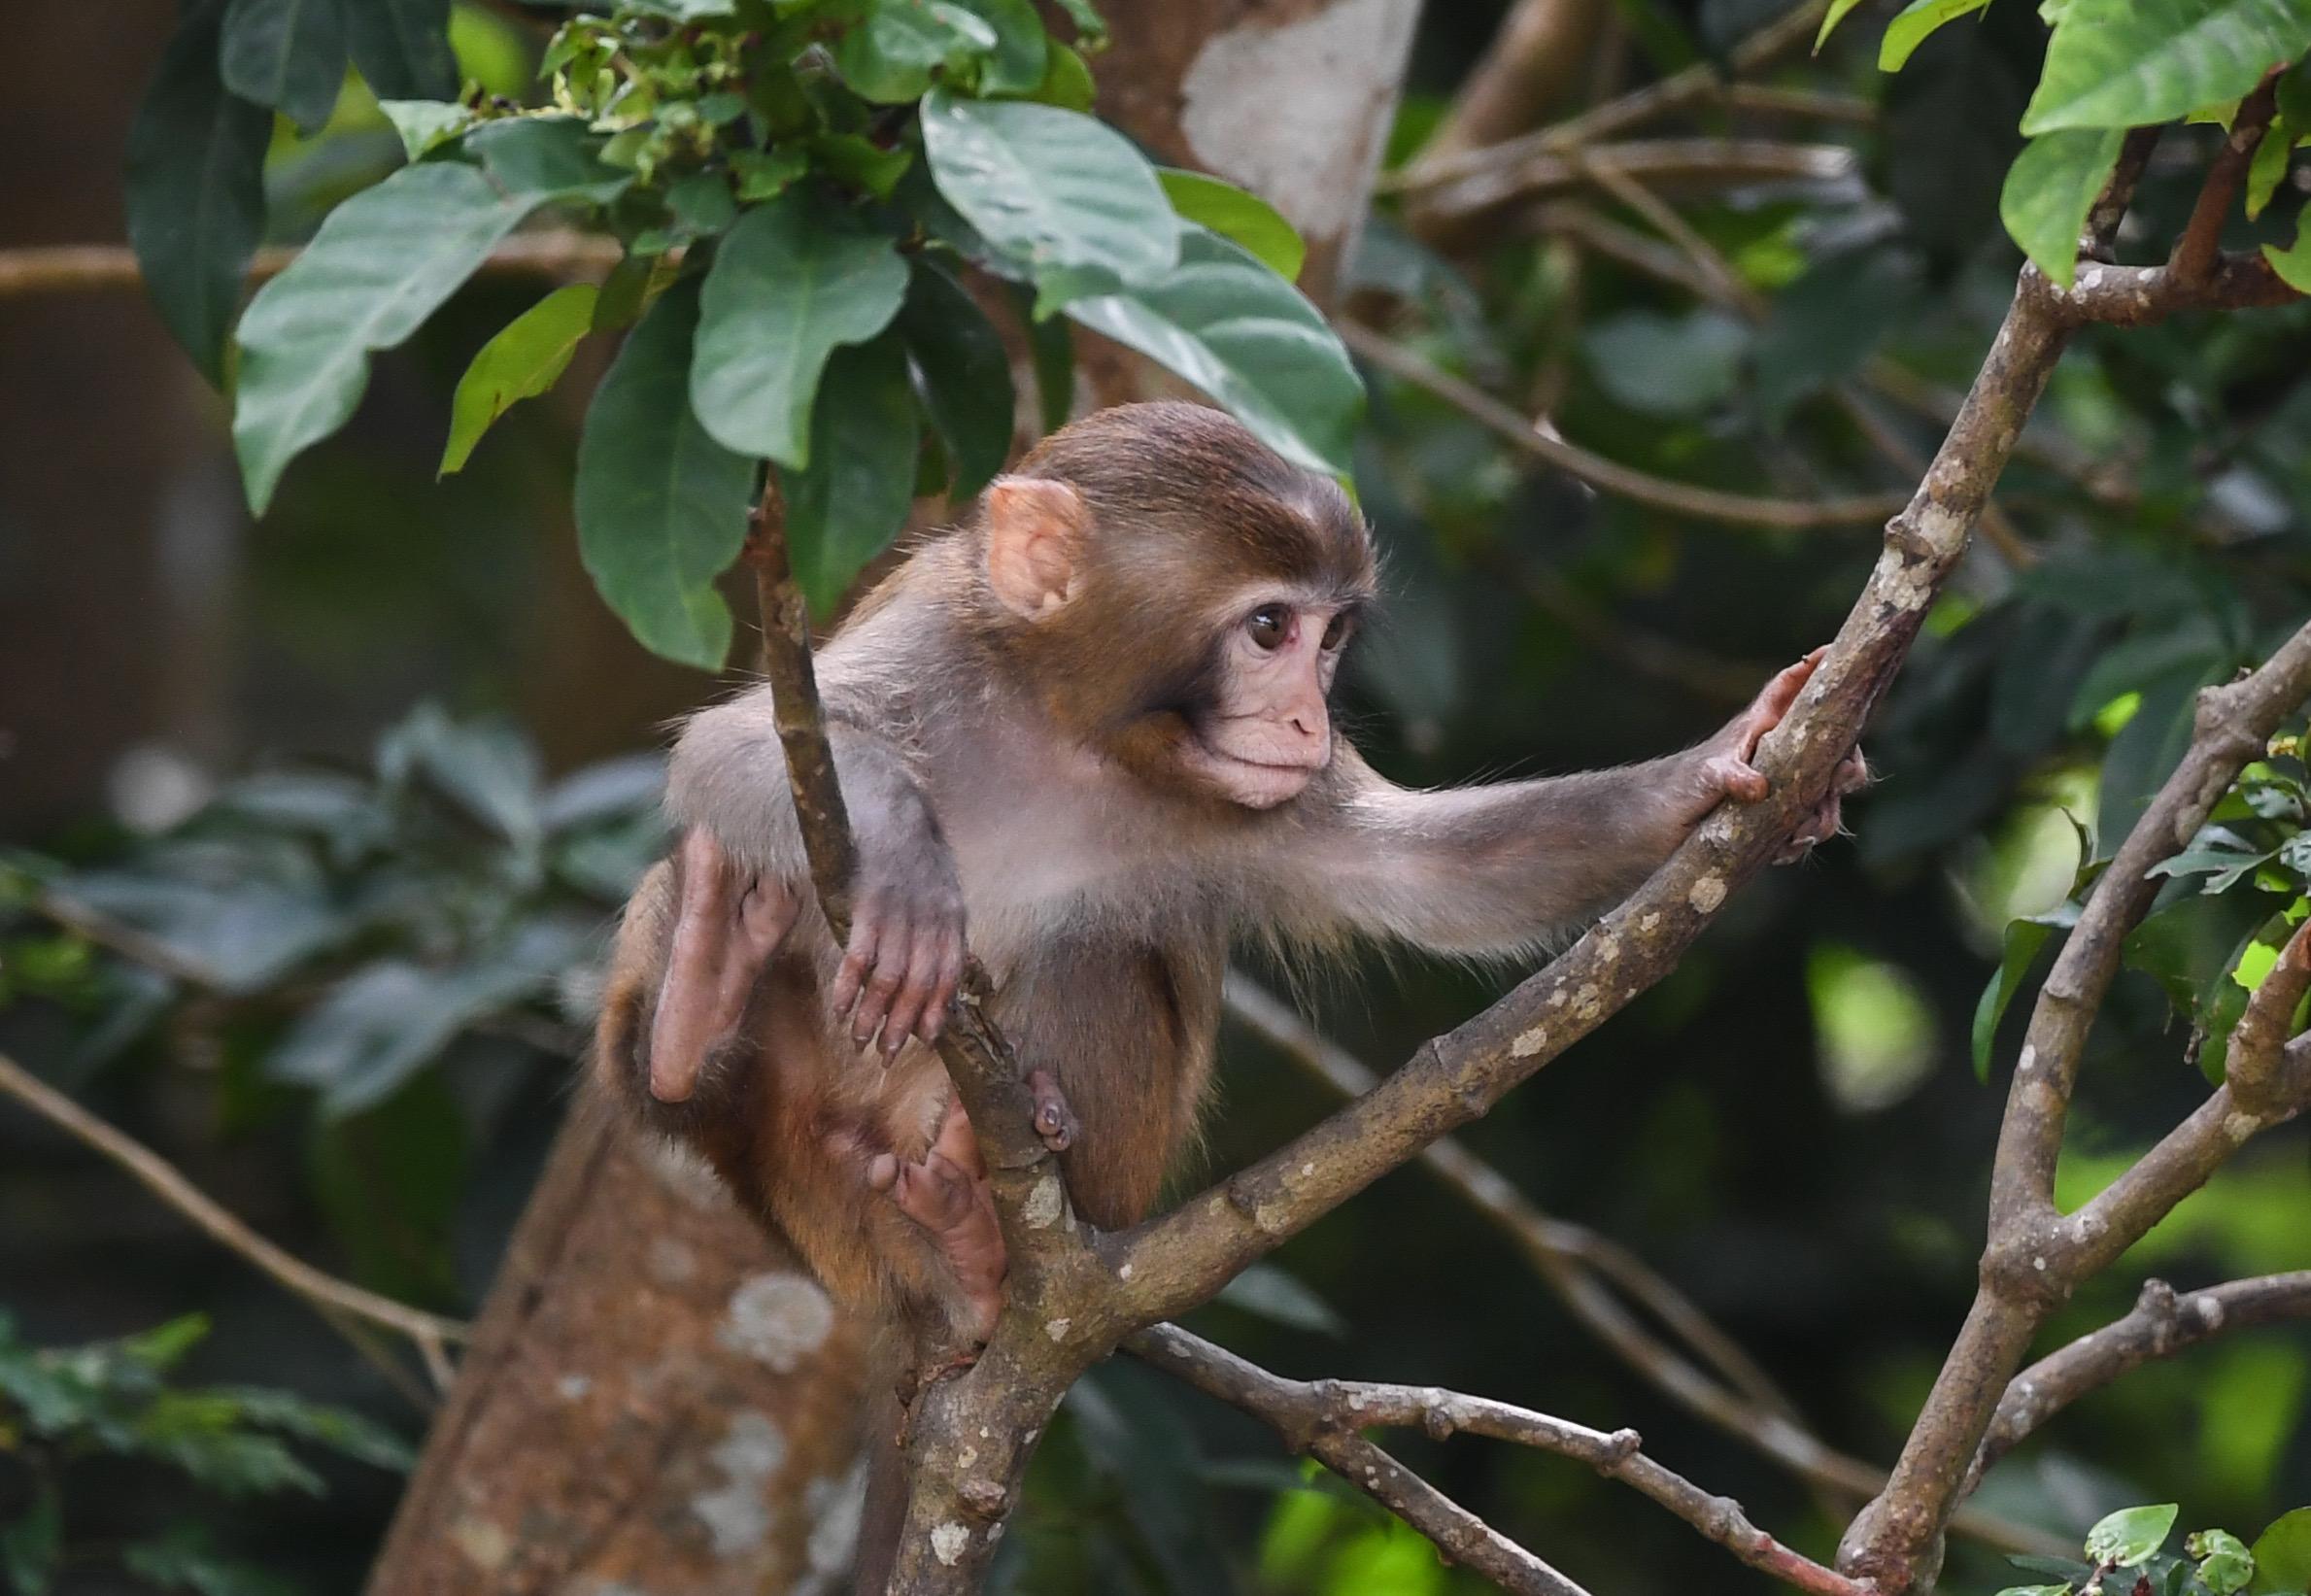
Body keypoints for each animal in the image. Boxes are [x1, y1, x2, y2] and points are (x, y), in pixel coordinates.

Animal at [595, 399, 1867, 1350]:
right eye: (1268, 630)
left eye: (1332, 635)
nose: (1308, 717)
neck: (1063, 727)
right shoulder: (933, 650)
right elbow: (735, 746)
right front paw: (907, 866)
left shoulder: (1242, 801)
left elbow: (1431, 871)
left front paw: (1716, 765)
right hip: (796, 1175)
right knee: (704, 890)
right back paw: (697, 1003)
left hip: (1085, 1184)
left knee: (1095, 946)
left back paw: (978, 1230)